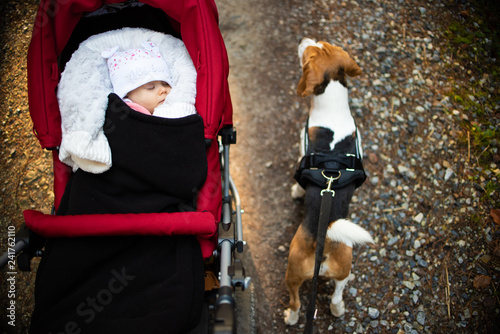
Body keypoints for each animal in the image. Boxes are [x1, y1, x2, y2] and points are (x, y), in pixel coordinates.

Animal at [284, 37, 374, 324]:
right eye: (324, 43)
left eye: (310, 51)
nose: (304, 39)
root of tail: (323, 244)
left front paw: (296, 192)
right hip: (344, 267)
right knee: (336, 295)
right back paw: (337, 309)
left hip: (292, 273)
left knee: (296, 302)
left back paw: (290, 317)